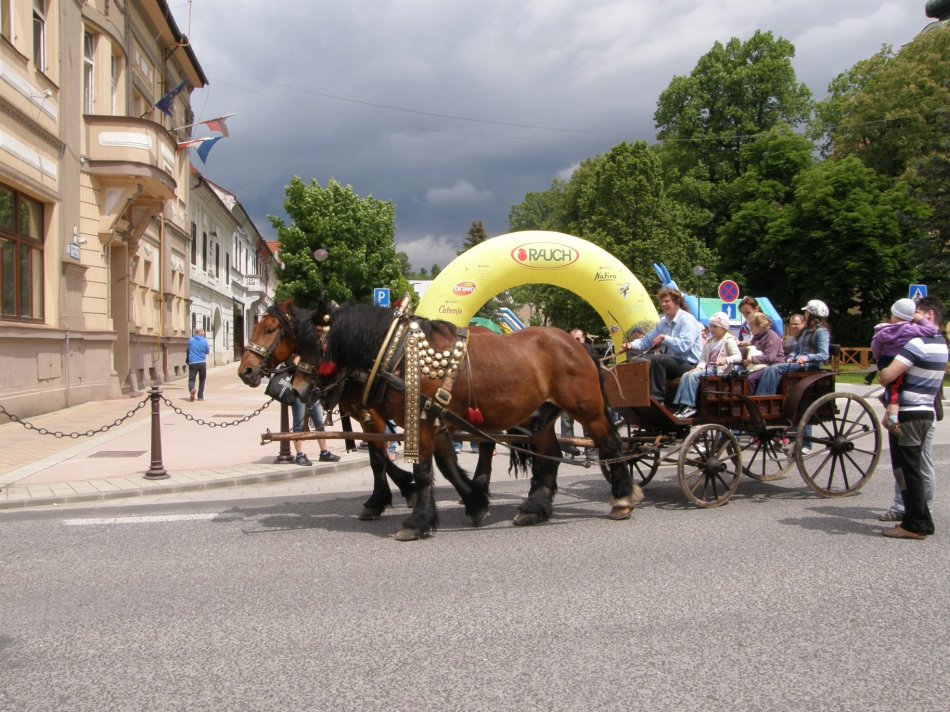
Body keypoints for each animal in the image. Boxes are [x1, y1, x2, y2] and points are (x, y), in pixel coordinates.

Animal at [309, 300, 642, 541]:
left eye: (314, 344)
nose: (304, 392)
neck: (398, 353)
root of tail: (579, 345)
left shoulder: (422, 419)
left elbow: (424, 469)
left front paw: (417, 521)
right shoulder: (428, 420)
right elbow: (433, 465)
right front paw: (470, 501)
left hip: (588, 409)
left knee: (610, 445)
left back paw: (623, 499)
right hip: (541, 416)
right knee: (549, 456)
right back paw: (534, 509)